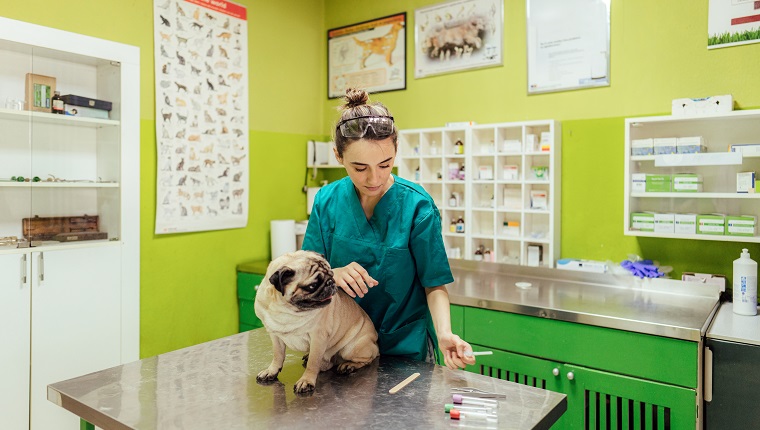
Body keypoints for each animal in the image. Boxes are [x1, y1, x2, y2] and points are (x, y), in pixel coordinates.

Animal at [254, 250, 378, 394]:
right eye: (312, 286)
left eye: (332, 275)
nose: (331, 282)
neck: (287, 310)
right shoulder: (275, 336)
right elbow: (278, 356)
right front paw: (271, 371)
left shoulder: (318, 338)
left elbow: (313, 363)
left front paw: (306, 381)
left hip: (352, 348)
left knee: (369, 358)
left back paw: (348, 365)